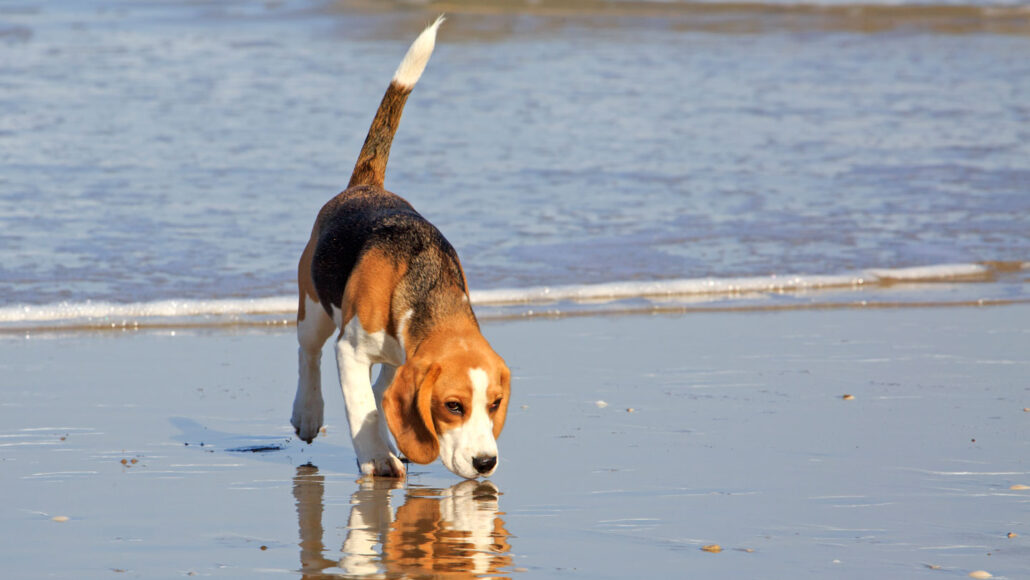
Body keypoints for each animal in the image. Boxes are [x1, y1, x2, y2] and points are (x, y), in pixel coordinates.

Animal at [290, 18, 510, 482]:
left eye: (495, 404)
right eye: (453, 406)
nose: (485, 463)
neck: (427, 291)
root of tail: (365, 185)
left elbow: (380, 399)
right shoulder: (350, 351)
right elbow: (362, 406)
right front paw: (376, 457)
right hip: (314, 309)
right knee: (309, 354)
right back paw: (308, 413)